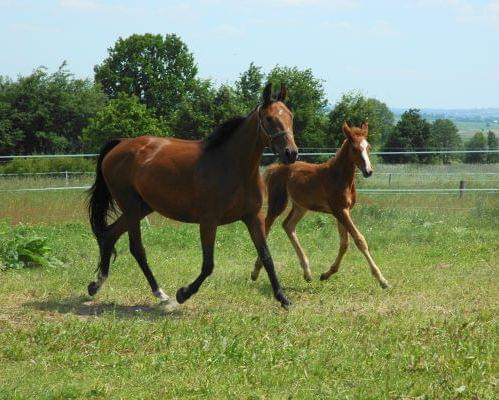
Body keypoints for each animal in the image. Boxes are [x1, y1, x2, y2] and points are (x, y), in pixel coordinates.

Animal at [87, 83, 296, 310]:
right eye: (269, 118)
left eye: (290, 116)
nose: (291, 153)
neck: (234, 167)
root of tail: (120, 145)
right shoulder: (208, 221)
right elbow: (208, 265)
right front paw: (183, 293)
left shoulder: (253, 217)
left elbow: (266, 257)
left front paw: (283, 299)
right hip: (131, 207)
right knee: (137, 249)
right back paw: (161, 293)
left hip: (142, 207)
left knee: (109, 234)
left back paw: (96, 285)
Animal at [254, 120, 390, 290]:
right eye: (354, 148)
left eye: (369, 147)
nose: (368, 171)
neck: (339, 177)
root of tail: (276, 167)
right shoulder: (340, 210)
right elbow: (359, 240)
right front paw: (382, 279)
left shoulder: (344, 211)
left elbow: (344, 244)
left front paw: (326, 274)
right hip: (277, 203)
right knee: (266, 227)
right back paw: (256, 271)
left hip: (300, 206)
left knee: (288, 225)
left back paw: (307, 272)